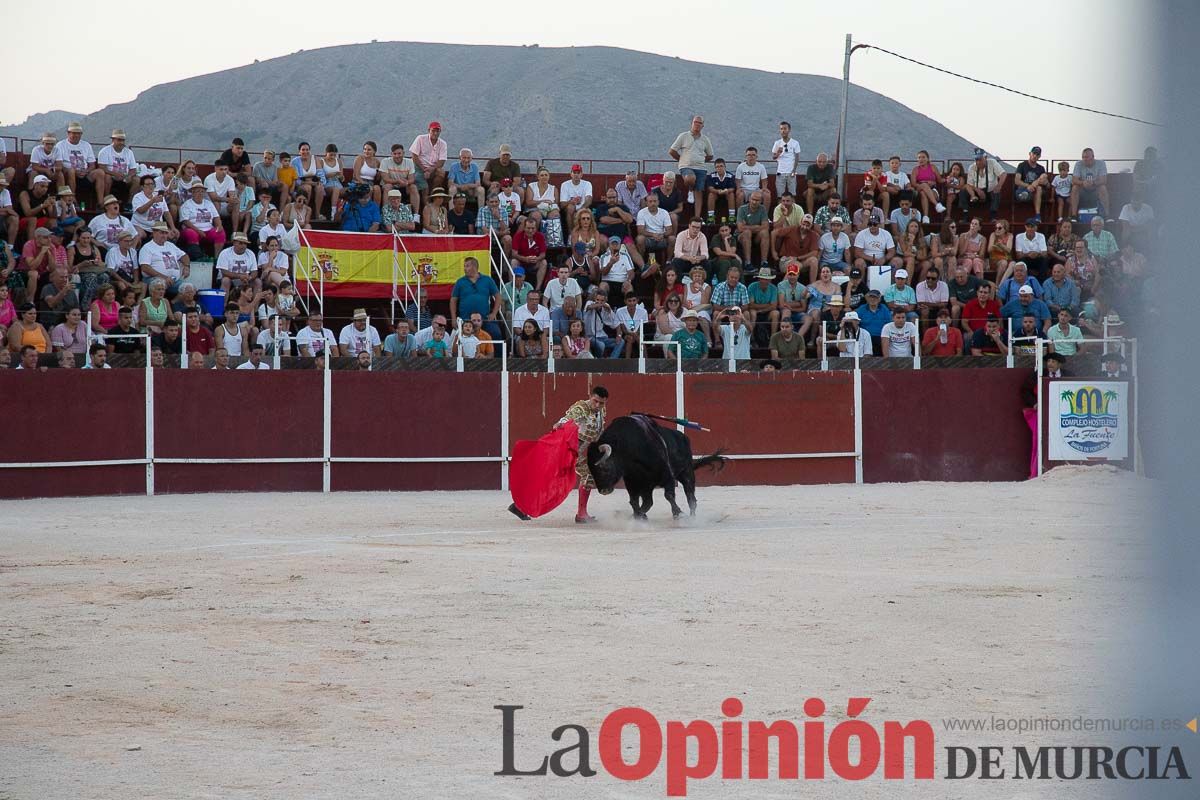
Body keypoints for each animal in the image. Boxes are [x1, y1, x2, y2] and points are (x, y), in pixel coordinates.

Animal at [585, 417, 724, 522]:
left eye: (604, 468)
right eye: (591, 470)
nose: (604, 491)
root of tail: (683, 437)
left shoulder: (667, 476)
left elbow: (668, 495)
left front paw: (678, 513)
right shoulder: (632, 482)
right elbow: (634, 502)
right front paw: (637, 516)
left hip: (687, 473)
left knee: (691, 497)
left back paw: (692, 518)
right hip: (647, 485)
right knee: (648, 502)